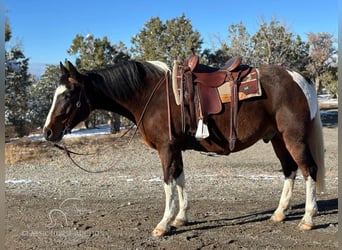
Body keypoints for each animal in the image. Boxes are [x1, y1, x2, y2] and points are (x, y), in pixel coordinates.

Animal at [44, 60, 324, 236]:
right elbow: (179, 178)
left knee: (309, 169)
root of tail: (300, 79)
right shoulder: (175, 149)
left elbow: (168, 182)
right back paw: (279, 213)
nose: (47, 132)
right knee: (289, 170)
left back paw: (308, 219)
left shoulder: (166, 148)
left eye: (67, 95)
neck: (149, 95)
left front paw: (163, 224)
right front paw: (180, 218)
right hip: (277, 139)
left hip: (294, 138)